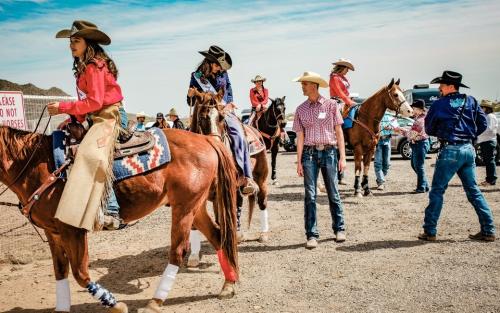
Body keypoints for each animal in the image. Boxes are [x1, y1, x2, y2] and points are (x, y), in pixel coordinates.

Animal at [0, 125, 238, 312]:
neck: (38, 165)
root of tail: (205, 138)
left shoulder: (72, 230)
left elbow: (80, 273)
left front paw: (116, 304)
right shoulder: (52, 231)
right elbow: (60, 271)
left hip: (184, 208)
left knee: (178, 251)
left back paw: (155, 302)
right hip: (195, 206)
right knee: (218, 236)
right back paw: (229, 283)